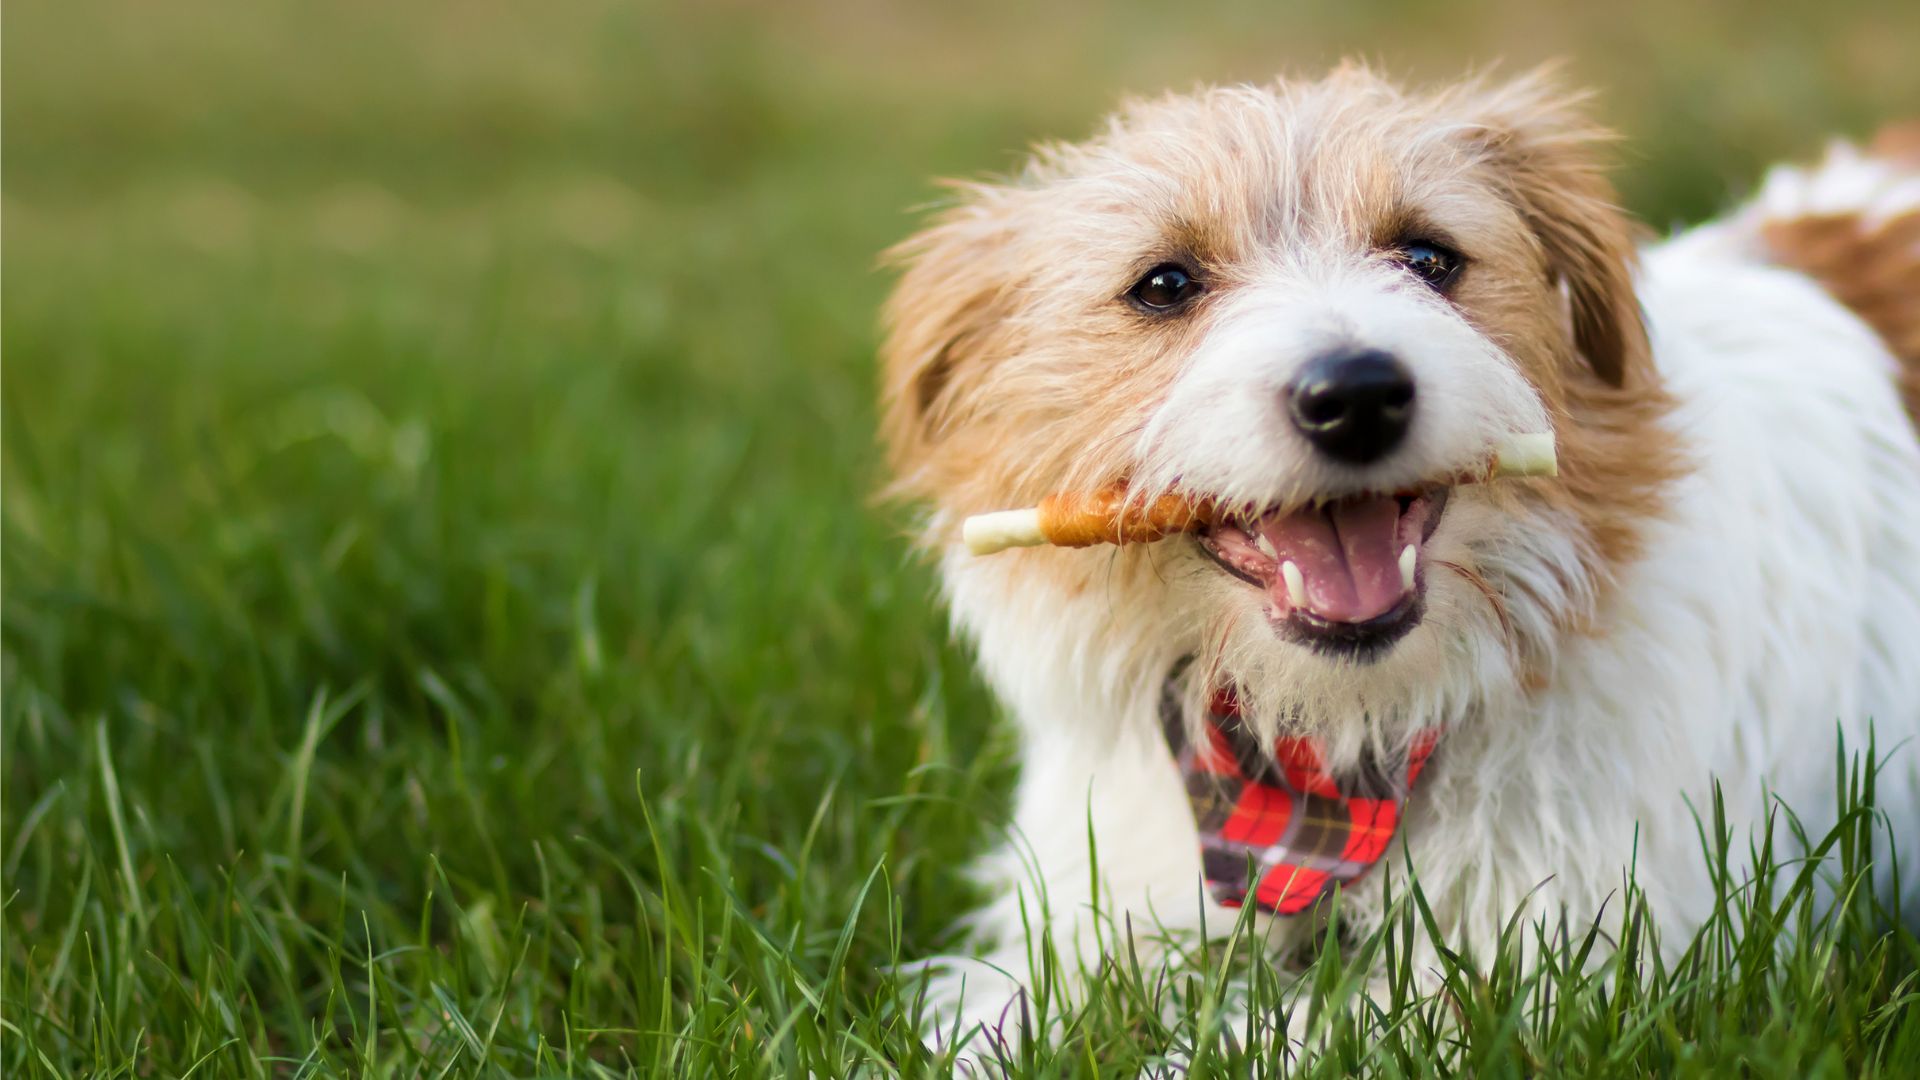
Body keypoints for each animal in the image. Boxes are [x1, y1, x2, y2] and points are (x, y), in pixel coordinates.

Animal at [875, 65, 1920, 1045]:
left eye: (1428, 257)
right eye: (1165, 284)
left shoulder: (1550, 971)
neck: (1328, 755)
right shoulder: (1085, 914)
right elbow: (988, 1018)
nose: (1356, 393)